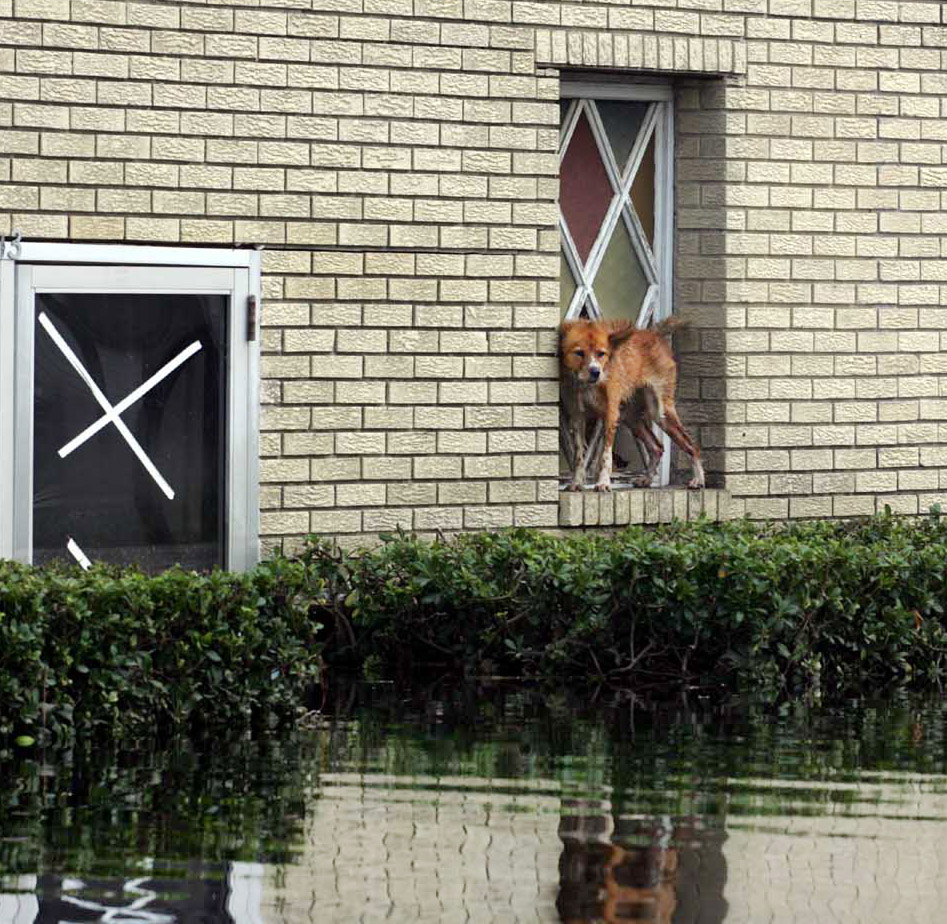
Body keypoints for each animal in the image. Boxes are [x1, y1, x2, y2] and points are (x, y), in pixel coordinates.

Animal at [560, 316, 708, 490]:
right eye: (579, 353)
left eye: (601, 353)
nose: (596, 372)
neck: (588, 386)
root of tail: (653, 334)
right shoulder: (577, 417)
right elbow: (579, 456)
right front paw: (576, 482)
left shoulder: (610, 415)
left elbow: (605, 455)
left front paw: (603, 482)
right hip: (632, 418)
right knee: (657, 447)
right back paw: (647, 479)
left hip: (660, 413)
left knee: (691, 445)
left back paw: (698, 479)